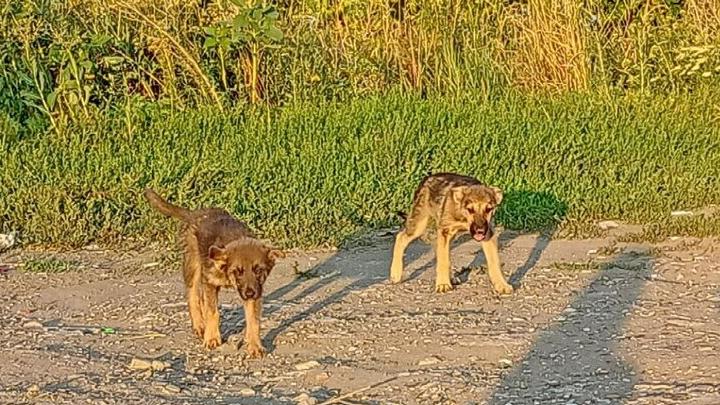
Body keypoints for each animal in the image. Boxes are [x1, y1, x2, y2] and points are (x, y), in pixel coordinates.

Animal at [145, 188, 282, 356]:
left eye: (259, 270)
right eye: (238, 271)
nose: (250, 294)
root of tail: (194, 214)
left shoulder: (254, 291)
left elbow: (253, 320)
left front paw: (255, 345)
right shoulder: (210, 281)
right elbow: (212, 312)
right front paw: (211, 338)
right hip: (194, 264)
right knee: (193, 295)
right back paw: (199, 325)